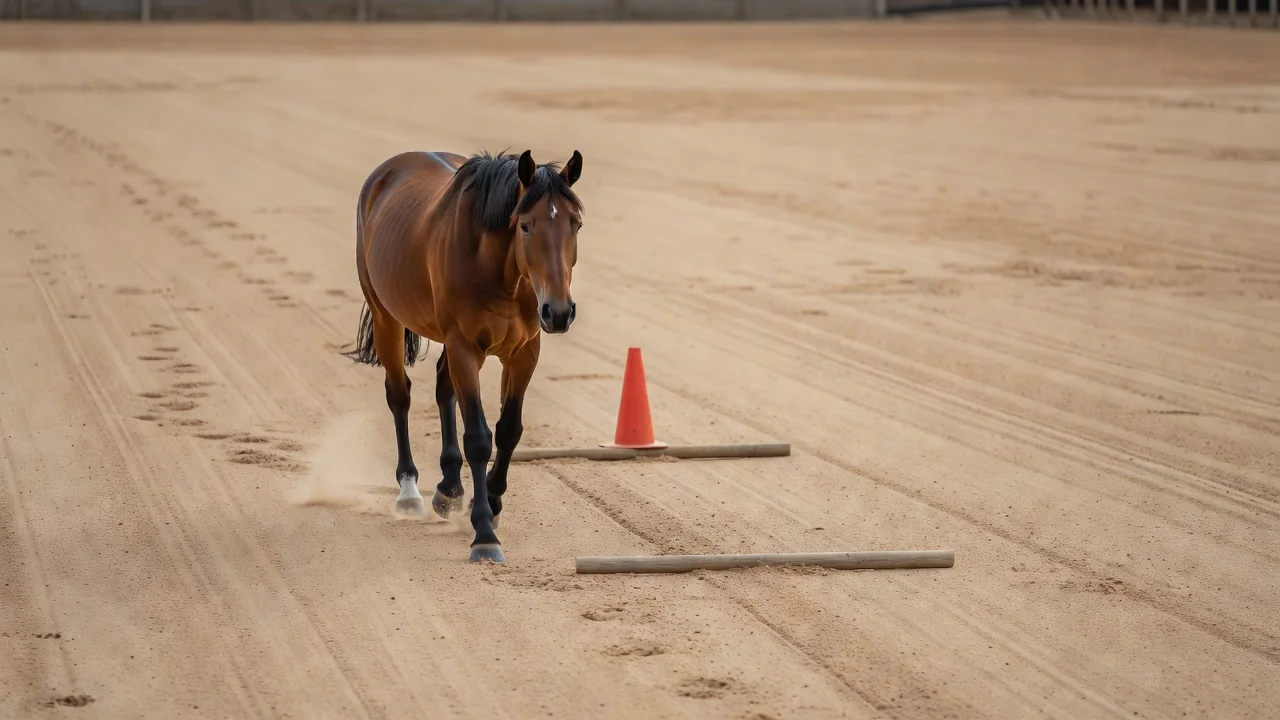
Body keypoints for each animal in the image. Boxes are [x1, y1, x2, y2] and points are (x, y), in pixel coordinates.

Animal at [342, 148, 585, 564]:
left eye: (576, 225)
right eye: (524, 226)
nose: (558, 311)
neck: (501, 269)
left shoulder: (524, 352)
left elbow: (508, 430)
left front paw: (491, 500)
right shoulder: (465, 348)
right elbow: (479, 438)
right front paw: (484, 533)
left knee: (444, 390)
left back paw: (450, 488)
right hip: (386, 317)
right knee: (400, 396)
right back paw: (410, 492)